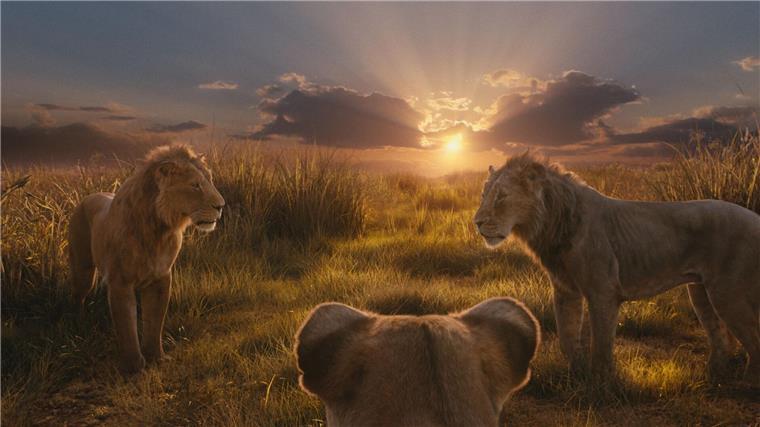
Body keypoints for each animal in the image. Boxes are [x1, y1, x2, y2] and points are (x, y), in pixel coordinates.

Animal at [67, 144, 224, 373]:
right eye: (195, 185)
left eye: (210, 180)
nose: (221, 206)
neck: (158, 229)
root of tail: (89, 196)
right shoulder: (120, 282)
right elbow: (127, 325)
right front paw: (133, 366)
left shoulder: (161, 278)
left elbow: (154, 321)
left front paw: (156, 357)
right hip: (83, 269)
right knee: (78, 296)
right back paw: (78, 325)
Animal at [474, 153, 760, 384]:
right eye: (483, 194)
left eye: (501, 196)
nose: (476, 222)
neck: (551, 224)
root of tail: (755, 218)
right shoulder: (565, 290)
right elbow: (567, 337)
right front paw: (576, 376)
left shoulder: (603, 291)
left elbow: (601, 344)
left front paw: (600, 384)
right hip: (700, 292)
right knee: (721, 337)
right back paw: (713, 377)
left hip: (727, 293)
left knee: (752, 338)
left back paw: (747, 385)